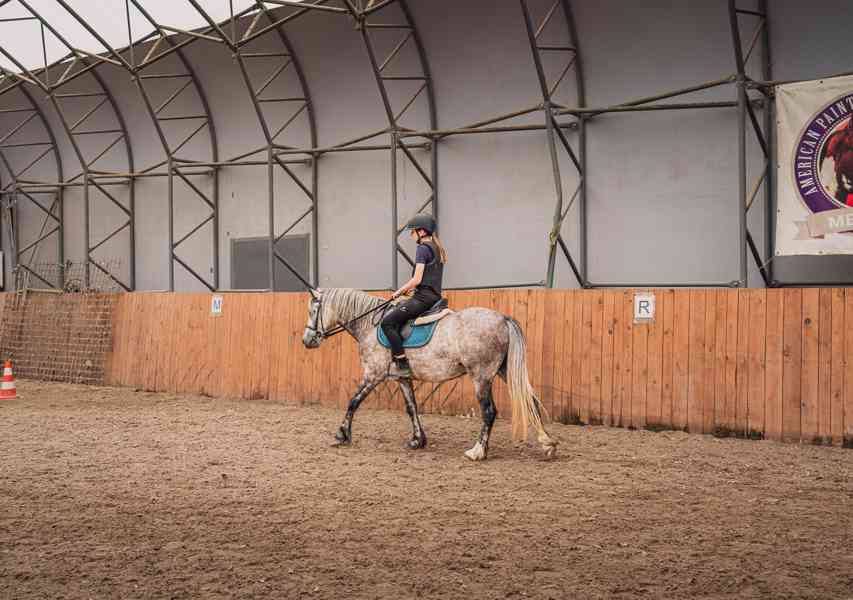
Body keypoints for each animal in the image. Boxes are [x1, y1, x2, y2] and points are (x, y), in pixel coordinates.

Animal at [301, 288, 557, 461]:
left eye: (313, 311)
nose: (307, 340)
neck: (369, 325)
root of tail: (502, 318)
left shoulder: (374, 374)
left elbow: (353, 401)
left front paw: (341, 435)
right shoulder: (402, 378)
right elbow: (411, 407)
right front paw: (417, 440)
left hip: (481, 376)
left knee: (489, 411)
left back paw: (477, 451)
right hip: (503, 371)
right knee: (532, 401)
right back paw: (548, 444)